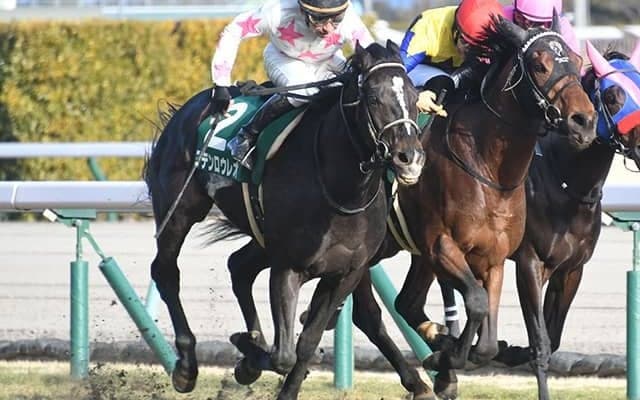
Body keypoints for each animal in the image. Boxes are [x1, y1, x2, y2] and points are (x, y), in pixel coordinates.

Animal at [143, 41, 429, 400]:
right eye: (374, 97)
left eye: (414, 95)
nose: (410, 158)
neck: (342, 190)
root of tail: (187, 109)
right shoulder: (288, 267)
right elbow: (283, 355)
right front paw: (249, 354)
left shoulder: (347, 272)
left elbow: (306, 343)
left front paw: (261, 361)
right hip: (180, 209)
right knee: (166, 271)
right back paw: (186, 366)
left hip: (263, 236)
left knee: (239, 266)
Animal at [491, 42, 640, 399]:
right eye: (612, 96)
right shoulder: (530, 263)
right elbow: (541, 345)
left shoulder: (571, 269)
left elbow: (554, 338)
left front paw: (507, 349)